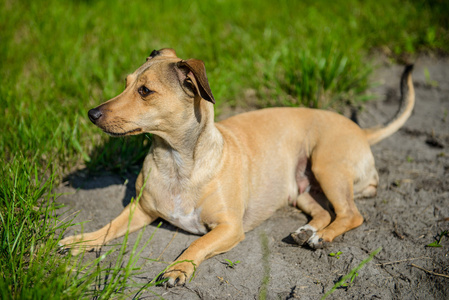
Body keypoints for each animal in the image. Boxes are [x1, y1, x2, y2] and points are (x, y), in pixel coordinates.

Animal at [59, 48, 412, 286]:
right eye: (127, 83)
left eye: (145, 91)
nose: (91, 114)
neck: (176, 162)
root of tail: (362, 131)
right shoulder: (140, 209)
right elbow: (109, 228)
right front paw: (81, 240)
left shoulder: (229, 228)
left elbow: (197, 243)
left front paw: (178, 269)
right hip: (302, 188)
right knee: (325, 212)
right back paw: (307, 232)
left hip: (328, 167)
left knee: (351, 214)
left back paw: (321, 238)